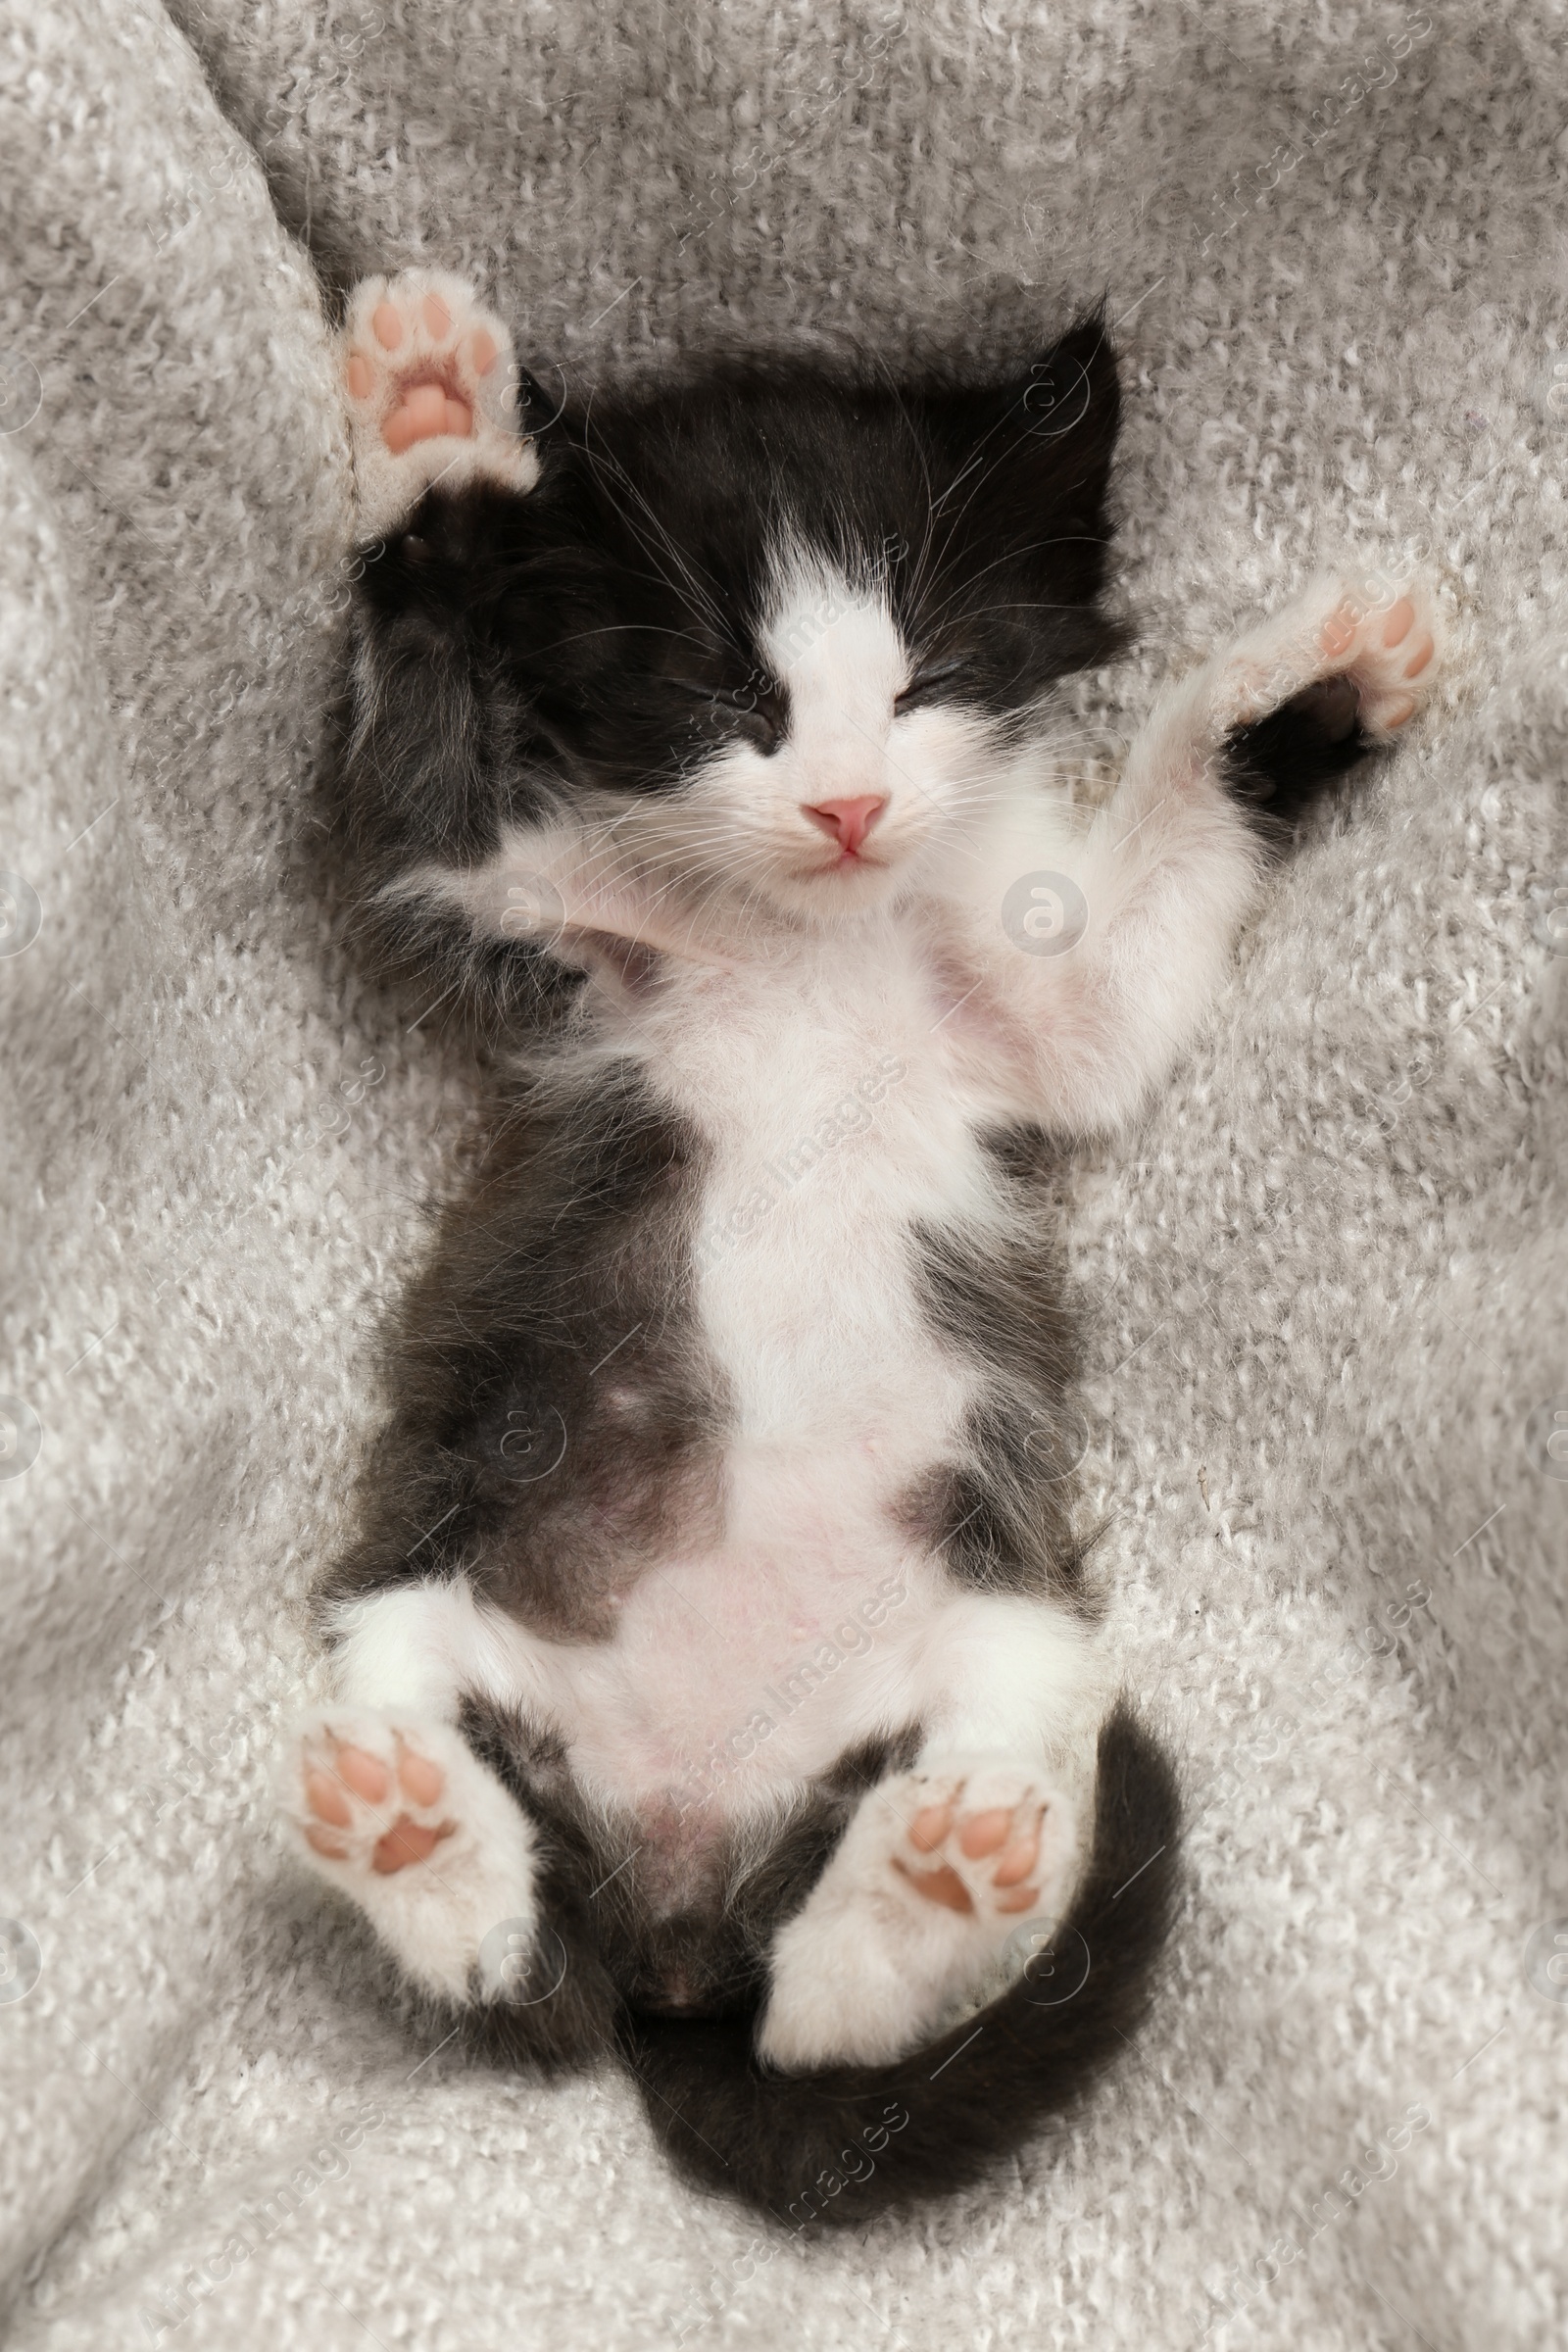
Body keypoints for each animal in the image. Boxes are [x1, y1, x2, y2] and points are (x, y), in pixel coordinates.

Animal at [285, 270, 1447, 2220]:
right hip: (412, 1616)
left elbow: (1123, 980)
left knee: (822, 2021)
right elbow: (405, 802)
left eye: (927, 680)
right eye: (727, 698)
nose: (844, 806)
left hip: (1012, 1649)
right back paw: (426, 1838)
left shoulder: (1036, 1016)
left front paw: (1305, 688)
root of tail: (682, 1919)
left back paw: (924, 1884)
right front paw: (438, 428)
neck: (813, 930)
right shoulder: (506, 914)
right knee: (531, 1986)